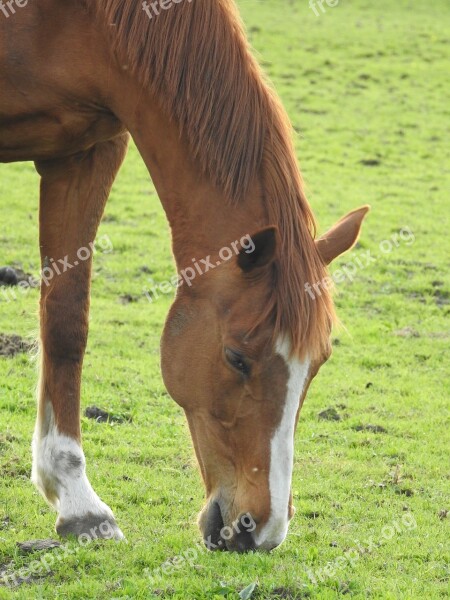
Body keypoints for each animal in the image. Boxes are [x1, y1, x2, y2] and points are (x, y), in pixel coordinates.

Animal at [0, 1, 370, 552]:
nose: (261, 531)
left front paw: (76, 501)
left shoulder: (86, 151)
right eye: (237, 358)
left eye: (318, 364)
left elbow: (66, 322)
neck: (88, 19)